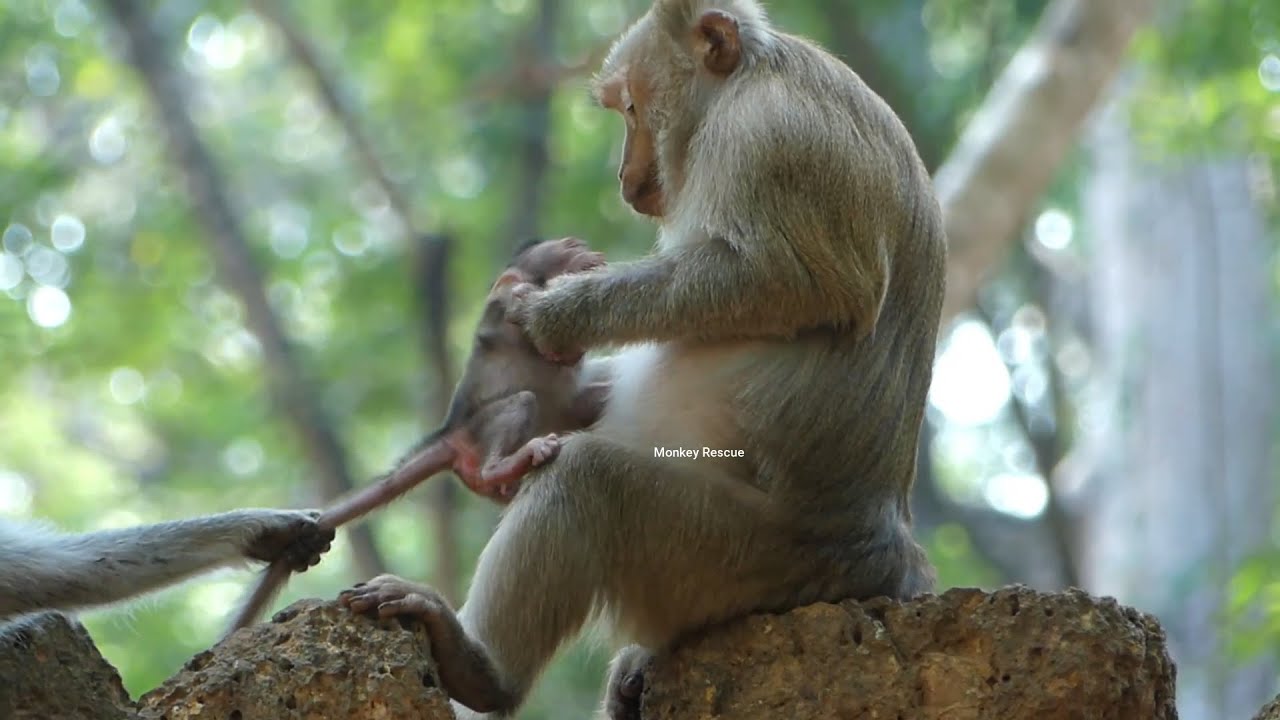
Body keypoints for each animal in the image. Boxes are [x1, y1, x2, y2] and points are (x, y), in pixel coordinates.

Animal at [225, 237, 611, 635]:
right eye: (570, 246)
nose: (592, 253)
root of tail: (451, 433)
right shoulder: (508, 293)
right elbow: (541, 335)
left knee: (581, 403)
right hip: (481, 427)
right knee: (522, 402)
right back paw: (505, 465)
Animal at [335, 1, 947, 718]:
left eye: (630, 106)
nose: (624, 175)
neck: (742, 83)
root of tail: (886, 558)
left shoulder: (771, 137)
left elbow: (796, 283)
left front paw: (559, 312)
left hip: (746, 561)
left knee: (588, 480)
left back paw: (481, 669)